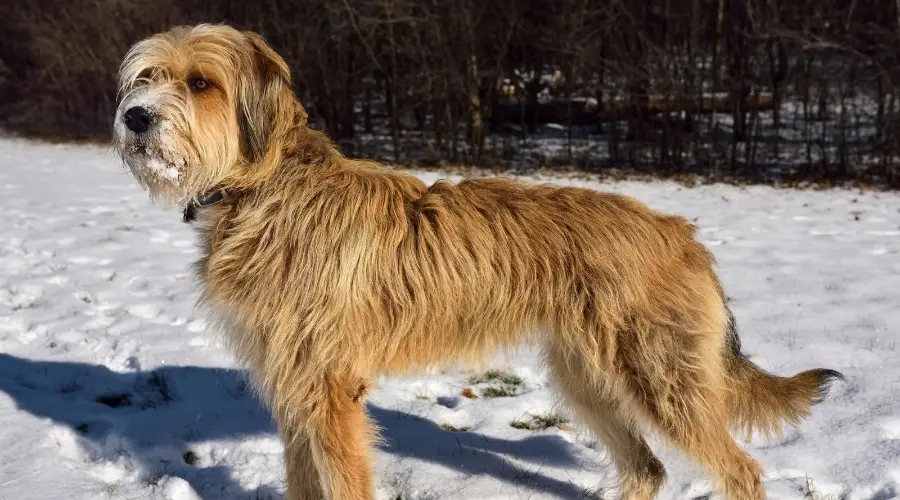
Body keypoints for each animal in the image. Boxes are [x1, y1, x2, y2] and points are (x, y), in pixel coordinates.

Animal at [112, 24, 844, 500]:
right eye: (145, 76)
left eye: (200, 82)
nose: (135, 118)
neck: (264, 187)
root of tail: (683, 233)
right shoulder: (293, 389)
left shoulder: (328, 391)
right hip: (588, 378)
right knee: (648, 470)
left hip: (664, 380)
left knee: (740, 470)